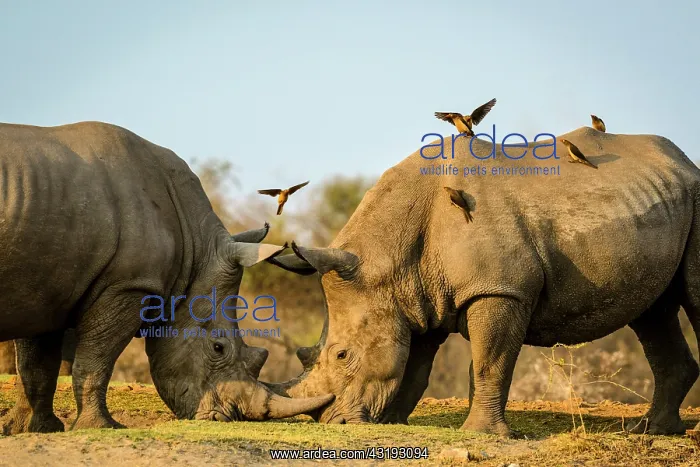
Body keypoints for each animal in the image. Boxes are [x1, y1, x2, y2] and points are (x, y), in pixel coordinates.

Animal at [0, 121, 333, 434]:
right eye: (218, 348)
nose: (227, 417)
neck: (195, 251)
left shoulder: (47, 284)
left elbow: (36, 364)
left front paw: (32, 429)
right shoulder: (129, 285)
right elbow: (96, 359)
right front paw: (102, 427)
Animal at [265, 126, 700, 437]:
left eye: (341, 355)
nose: (332, 422)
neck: (384, 264)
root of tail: (685, 163)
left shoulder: (499, 290)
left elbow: (490, 360)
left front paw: (481, 434)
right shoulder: (417, 298)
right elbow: (415, 366)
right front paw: (391, 421)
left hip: (694, 196)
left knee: (689, 301)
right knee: (653, 312)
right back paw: (650, 431)